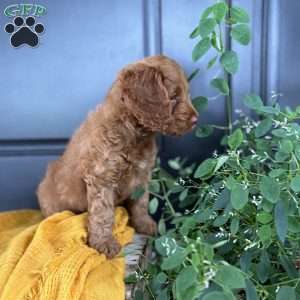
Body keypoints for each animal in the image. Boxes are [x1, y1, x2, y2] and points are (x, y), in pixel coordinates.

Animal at [37, 55, 197, 258]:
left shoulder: (142, 175)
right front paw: (104, 244)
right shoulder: (101, 179)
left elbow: (141, 203)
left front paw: (145, 225)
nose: (196, 120)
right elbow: (103, 214)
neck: (133, 133)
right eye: (173, 97)